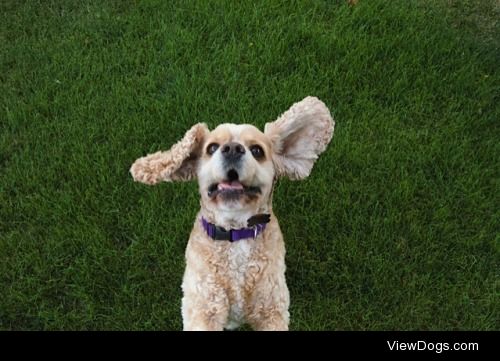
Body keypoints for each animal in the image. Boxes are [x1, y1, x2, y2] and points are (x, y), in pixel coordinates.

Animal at [130, 95, 332, 330]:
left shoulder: (271, 308)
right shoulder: (204, 306)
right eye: (211, 147)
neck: (235, 234)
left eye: (257, 151)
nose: (233, 148)